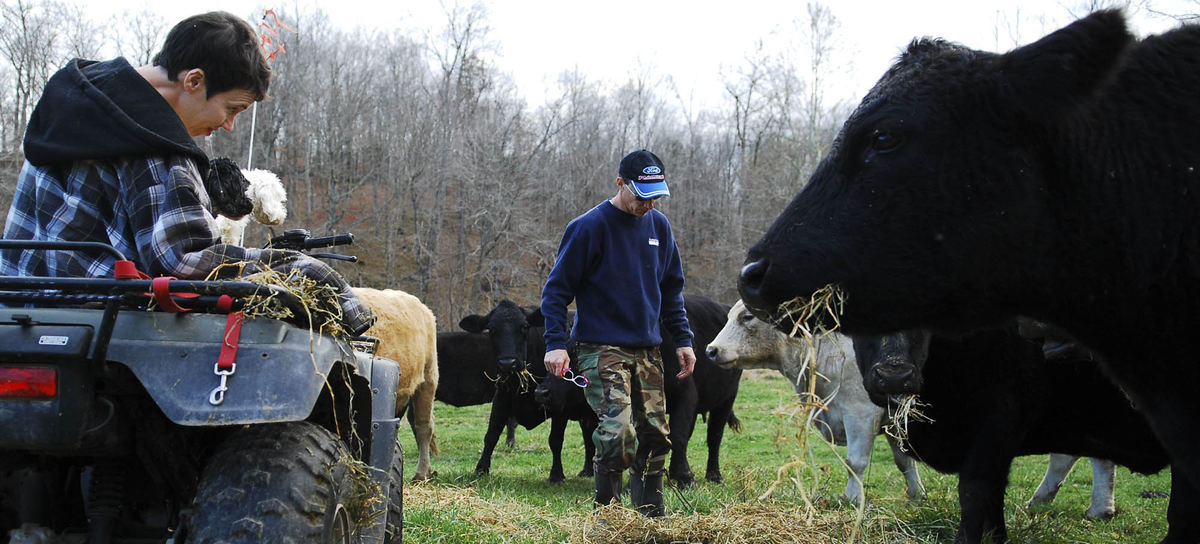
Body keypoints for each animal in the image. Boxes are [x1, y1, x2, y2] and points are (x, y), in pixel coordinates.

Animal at [705, 299, 921, 501]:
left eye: (747, 316)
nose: (711, 350)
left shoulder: (861, 414)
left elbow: (855, 462)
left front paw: (852, 499)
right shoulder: (895, 419)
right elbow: (905, 461)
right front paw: (916, 497)